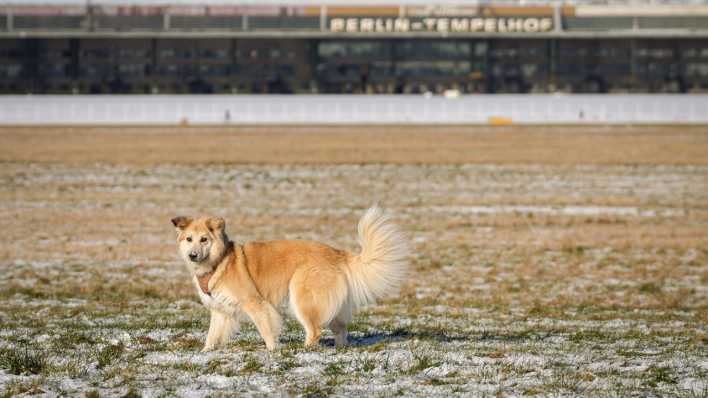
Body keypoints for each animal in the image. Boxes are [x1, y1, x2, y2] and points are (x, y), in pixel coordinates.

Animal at [171, 207, 410, 350]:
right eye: (189, 239)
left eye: (204, 239)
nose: (192, 255)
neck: (219, 261)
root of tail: (336, 253)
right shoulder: (221, 310)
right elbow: (212, 336)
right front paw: (205, 352)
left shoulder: (255, 302)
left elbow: (266, 329)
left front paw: (272, 351)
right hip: (330, 304)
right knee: (340, 328)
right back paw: (340, 348)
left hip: (302, 297)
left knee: (315, 330)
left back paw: (304, 350)